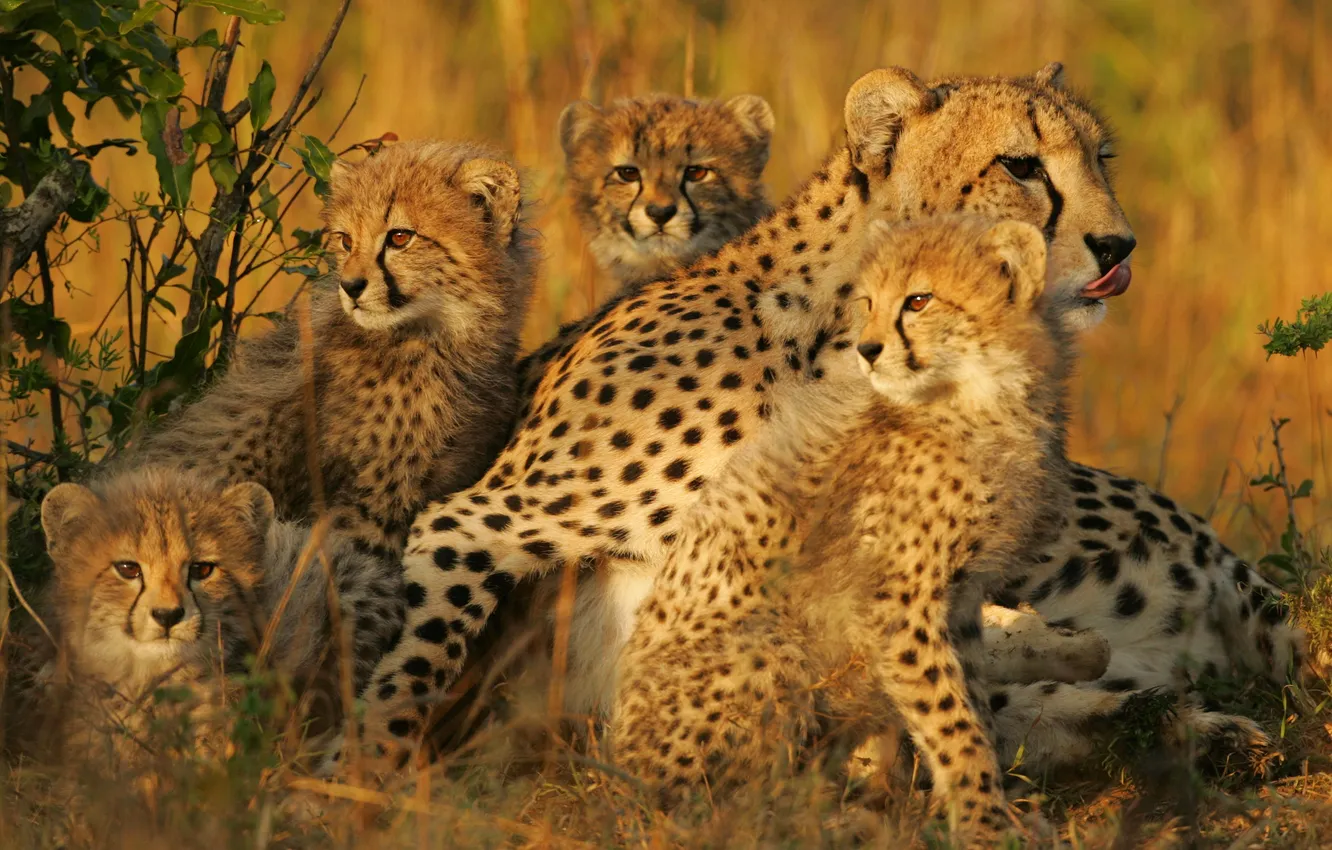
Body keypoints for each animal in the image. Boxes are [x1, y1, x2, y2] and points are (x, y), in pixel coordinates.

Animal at [356, 61, 1141, 770]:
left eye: (1102, 160)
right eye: (1021, 165)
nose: (1119, 247)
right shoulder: (471, 525)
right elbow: (410, 672)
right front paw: (363, 778)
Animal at [610, 215, 1066, 846]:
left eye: (918, 301)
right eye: (868, 304)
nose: (867, 350)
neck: (975, 399)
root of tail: (622, 768)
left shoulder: (962, 597)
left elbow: (972, 700)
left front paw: (984, 801)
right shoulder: (896, 602)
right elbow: (952, 718)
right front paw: (983, 822)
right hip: (769, 649)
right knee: (712, 801)